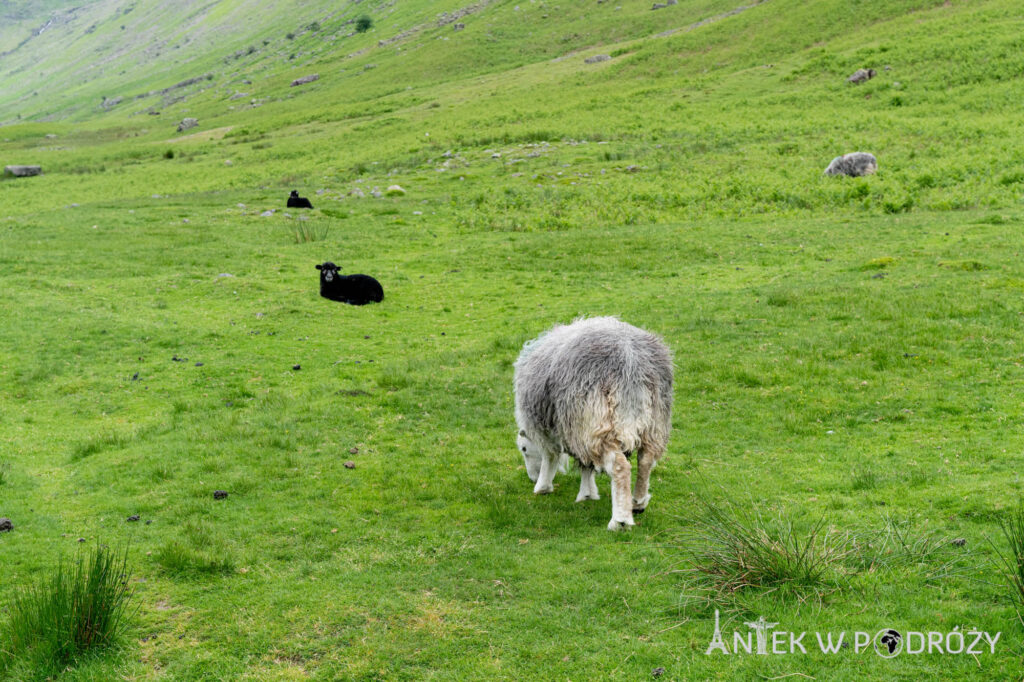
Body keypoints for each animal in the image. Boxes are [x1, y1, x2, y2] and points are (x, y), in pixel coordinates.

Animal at [512, 315, 671, 528]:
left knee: (620, 467)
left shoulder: (551, 428)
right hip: (653, 421)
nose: (532, 478)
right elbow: (586, 465)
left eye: (523, 449)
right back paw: (637, 503)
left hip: (595, 420)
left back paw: (620, 520)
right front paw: (587, 494)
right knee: (645, 460)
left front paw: (542, 487)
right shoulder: (576, 432)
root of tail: (631, 363)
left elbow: (551, 456)